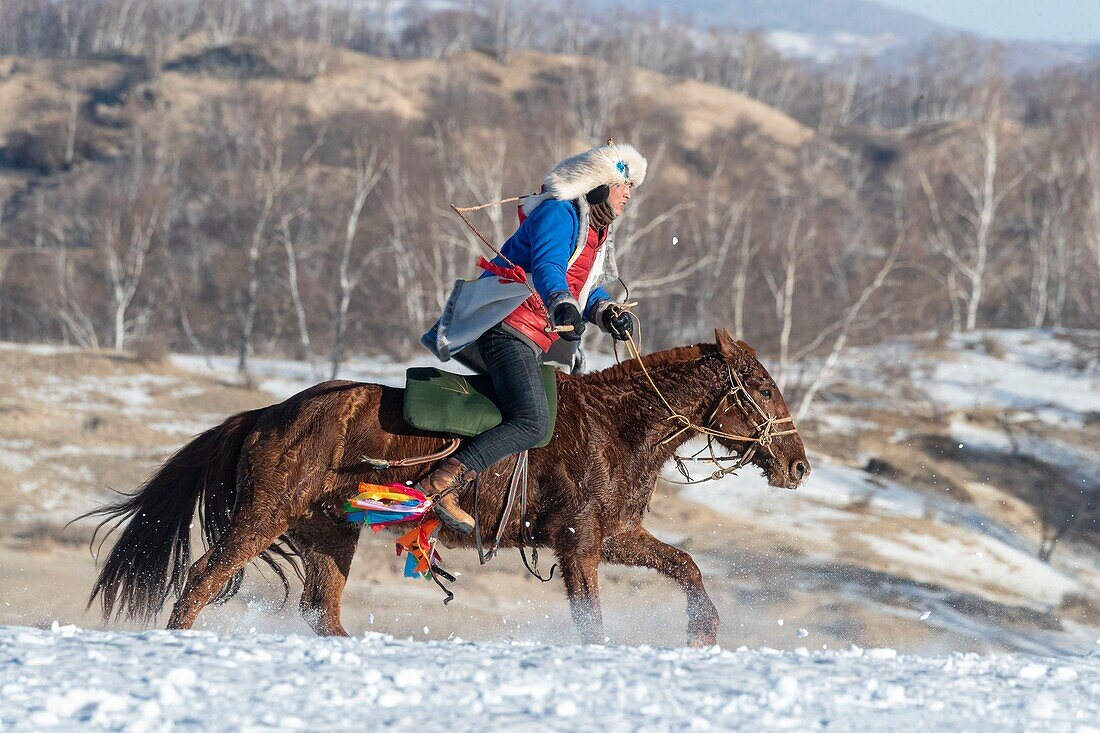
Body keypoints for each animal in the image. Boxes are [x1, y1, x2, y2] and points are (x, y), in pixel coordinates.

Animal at [83, 327, 809, 642]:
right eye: (764, 388)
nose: (799, 465)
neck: (615, 425)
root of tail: (266, 415)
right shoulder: (579, 541)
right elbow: (591, 618)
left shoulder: (615, 534)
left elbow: (685, 564)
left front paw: (704, 630)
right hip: (264, 516)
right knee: (203, 578)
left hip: (330, 533)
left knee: (323, 611)